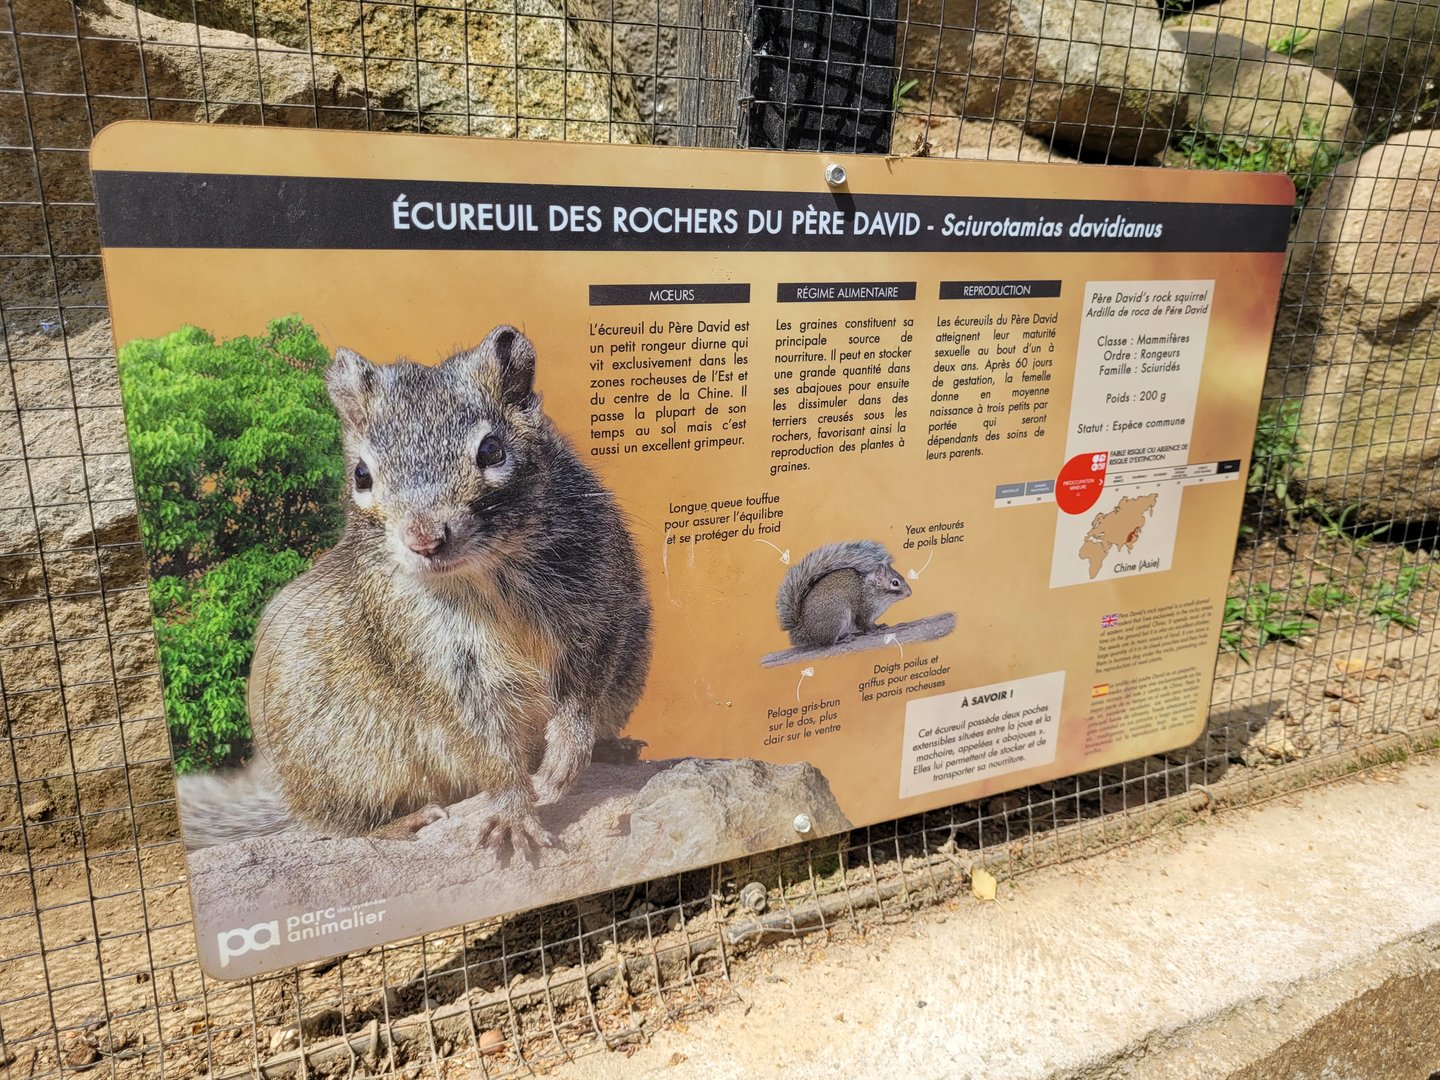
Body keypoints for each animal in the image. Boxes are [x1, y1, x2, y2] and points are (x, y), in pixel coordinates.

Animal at [178, 325, 652, 859]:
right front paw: (513, 813)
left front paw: (565, 758)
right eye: (361, 475)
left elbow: (586, 690)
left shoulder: (603, 609)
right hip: (346, 761)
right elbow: (485, 746)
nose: (425, 539)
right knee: (335, 823)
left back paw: (613, 749)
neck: (482, 573)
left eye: (492, 451)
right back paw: (402, 823)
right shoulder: (435, 661)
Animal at [776, 540, 911, 649]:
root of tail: (804, 632)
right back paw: (843, 640)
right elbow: (864, 624)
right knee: (829, 642)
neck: (872, 590)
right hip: (837, 617)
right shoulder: (863, 611)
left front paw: (879, 626)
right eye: (895, 583)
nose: (910, 593)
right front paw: (873, 631)